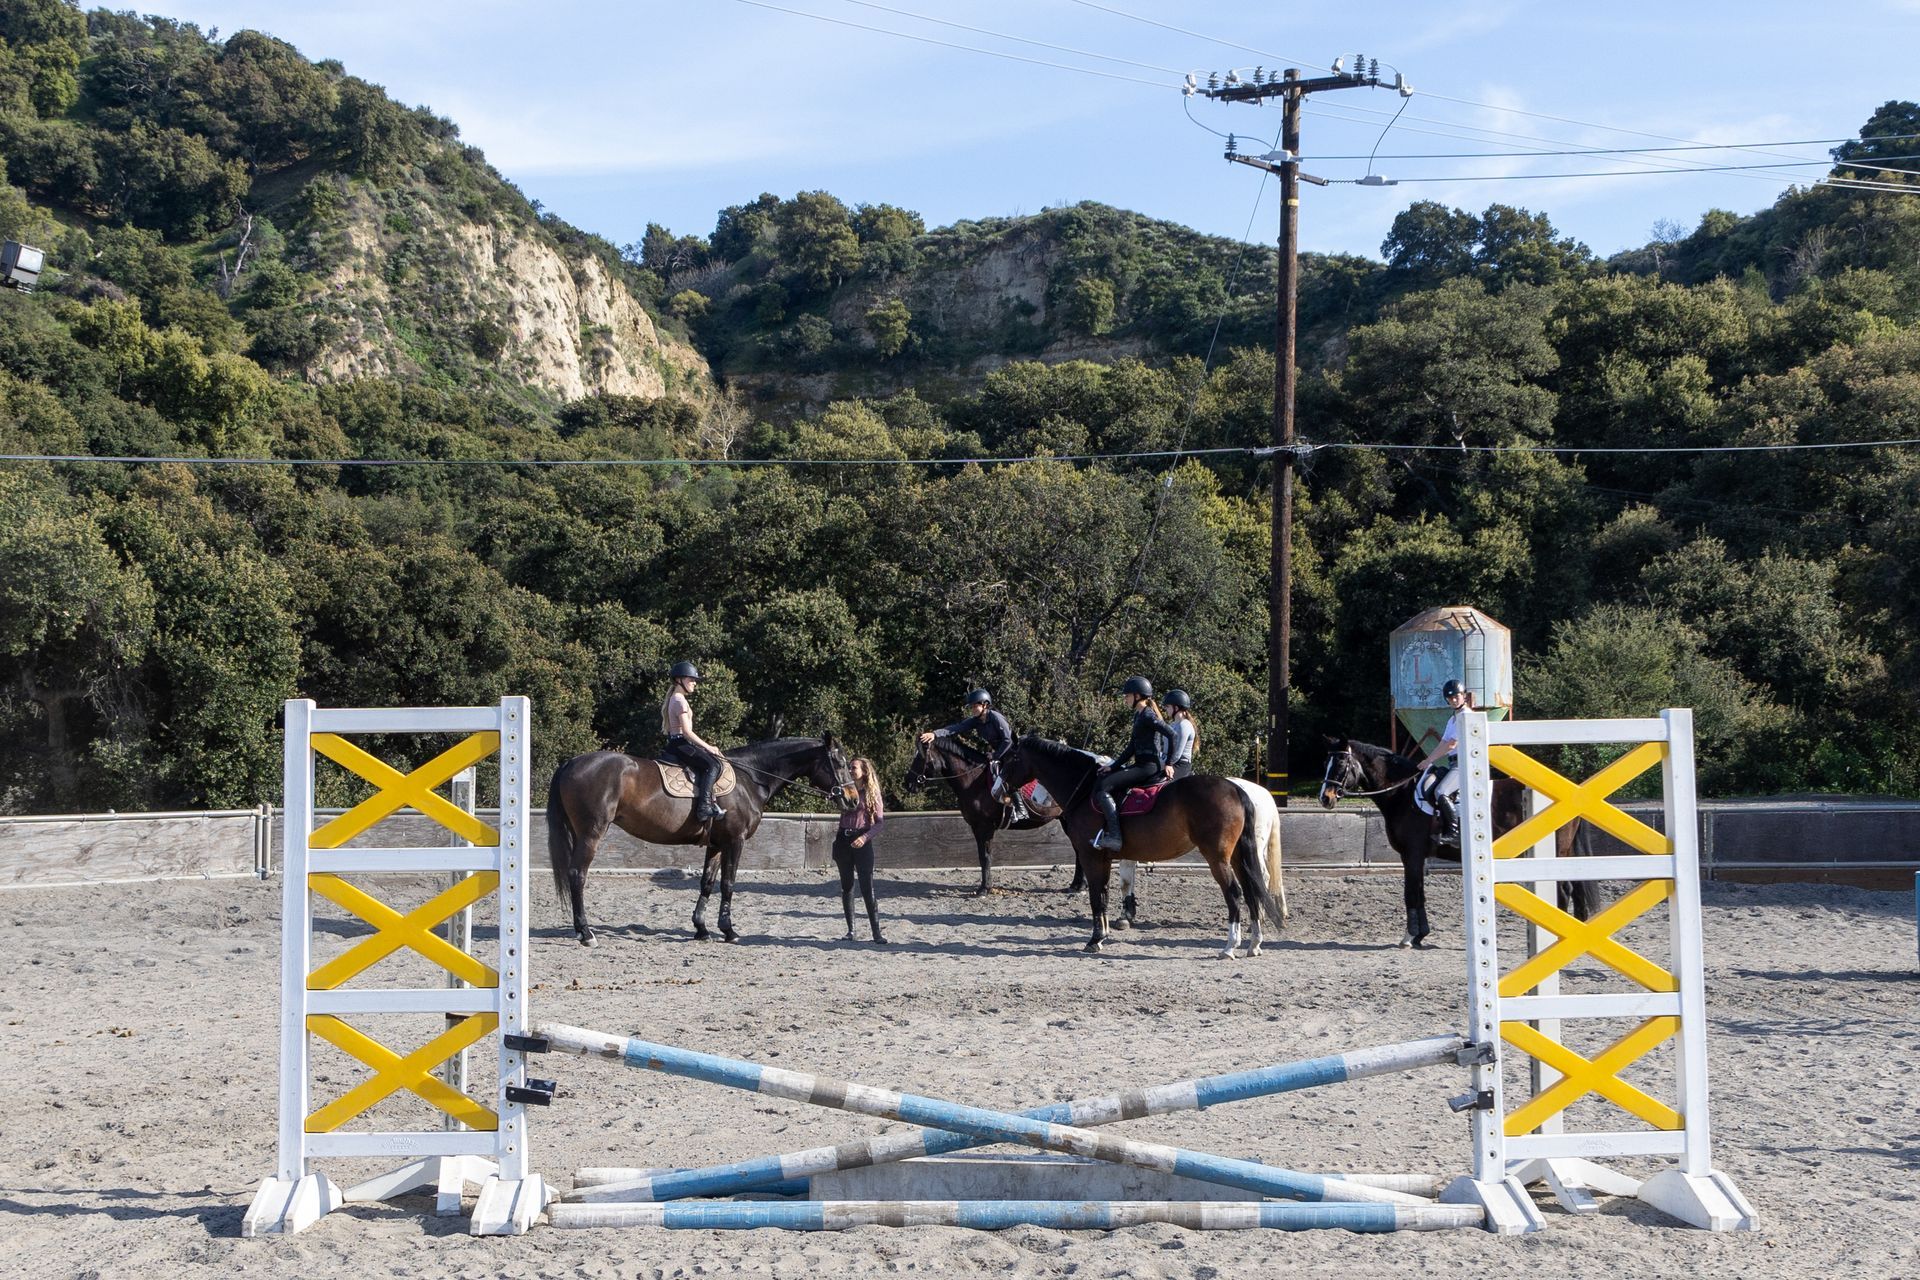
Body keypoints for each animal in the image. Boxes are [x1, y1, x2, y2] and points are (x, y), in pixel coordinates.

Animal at [546, 734, 854, 946]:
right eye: (840, 763)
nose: (851, 799)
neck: (751, 777)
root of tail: (571, 762)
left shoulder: (717, 844)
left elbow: (707, 882)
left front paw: (702, 929)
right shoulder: (735, 841)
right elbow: (728, 884)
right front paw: (729, 931)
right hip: (591, 833)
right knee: (577, 875)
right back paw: (586, 933)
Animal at [903, 735, 1062, 895]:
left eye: (919, 757)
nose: (907, 783)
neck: (974, 781)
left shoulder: (985, 827)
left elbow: (986, 857)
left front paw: (984, 888)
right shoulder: (976, 827)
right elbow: (982, 856)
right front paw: (985, 886)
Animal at [995, 735, 1284, 956]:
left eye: (1009, 759)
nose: (997, 791)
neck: (1087, 790)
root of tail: (1236, 788)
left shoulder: (1090, 856)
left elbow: (1095, 896)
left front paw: (1094, 940)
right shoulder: (1104, 858)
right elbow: (1105, 893)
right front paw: (1103, 933)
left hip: (1218, 857)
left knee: (1234, 893)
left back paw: (1230, 946)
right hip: (1238, 856)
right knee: (1252, 890)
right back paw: (1254, 943)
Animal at [1318, 737, 1597, 949]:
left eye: (1340, 763)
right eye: (1326, 763)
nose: (1325, 798)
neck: (1403, 793)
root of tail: (1572, 789)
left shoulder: (1412, 855)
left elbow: (1411, 893)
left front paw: (1409, 937)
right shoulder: (1415, 857)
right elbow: (1419, 893)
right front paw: (1421, 936)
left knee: (1563, 890)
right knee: (1573, 888)